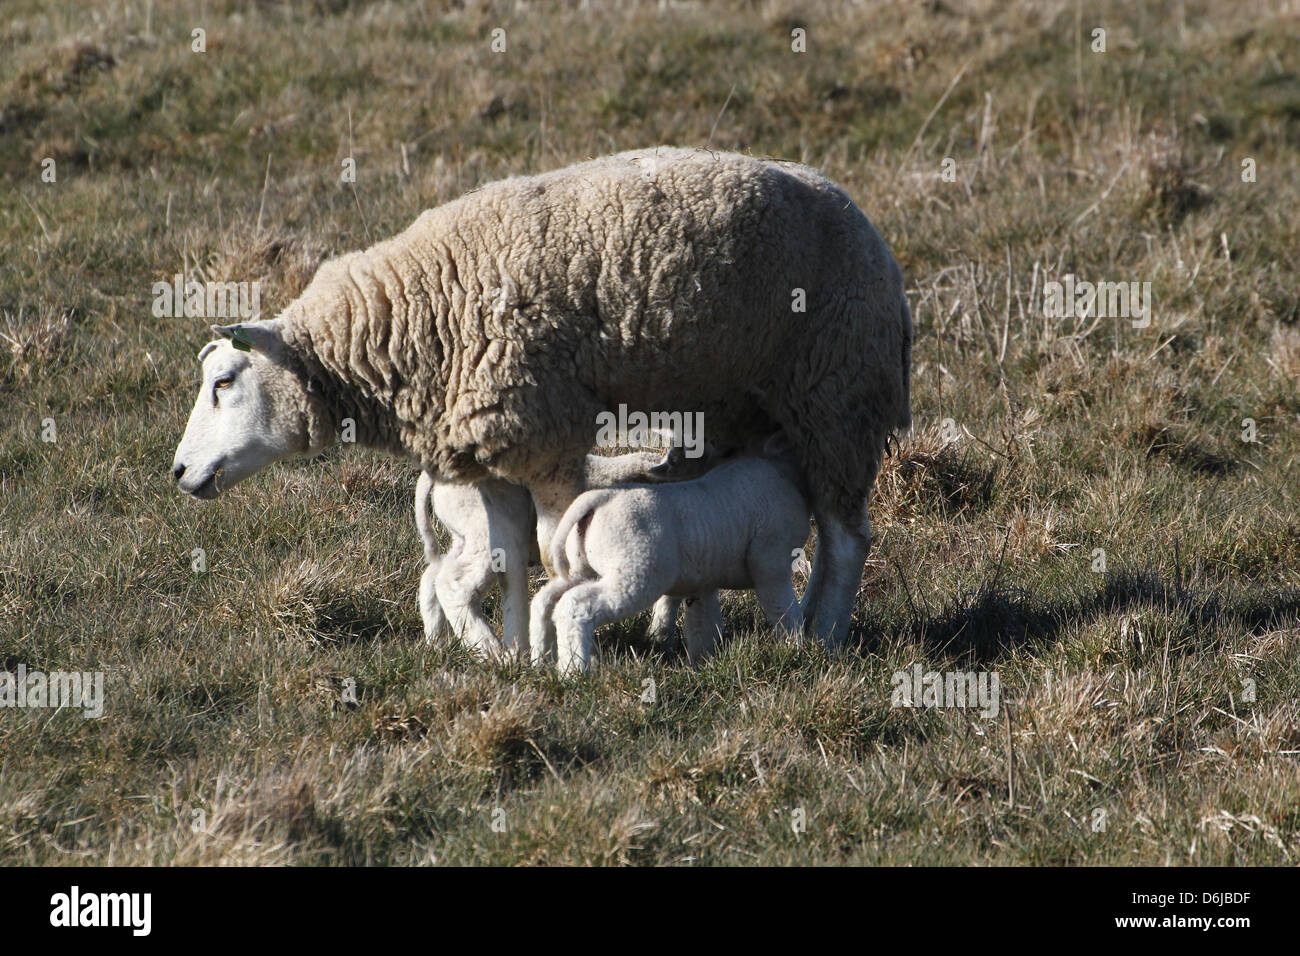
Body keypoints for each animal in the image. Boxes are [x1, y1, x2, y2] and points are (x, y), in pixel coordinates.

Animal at [413, 451, 685, 659]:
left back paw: (437, 641)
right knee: (453, 585)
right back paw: (490, 650)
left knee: (433, 576)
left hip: (464, 535)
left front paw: (660, 640)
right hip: (485, 531)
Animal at [530, 439, 810, 673]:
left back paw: (540, 661)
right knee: (576, 605)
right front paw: (795, 649)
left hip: (583, 567)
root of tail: (599, 498)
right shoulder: (770, 560)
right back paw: (574, 672)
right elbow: (783, 608)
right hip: (636, 572)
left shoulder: (704, 578)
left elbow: (703, 624)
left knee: (546, 600)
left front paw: (702, 665)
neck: (784, 471)